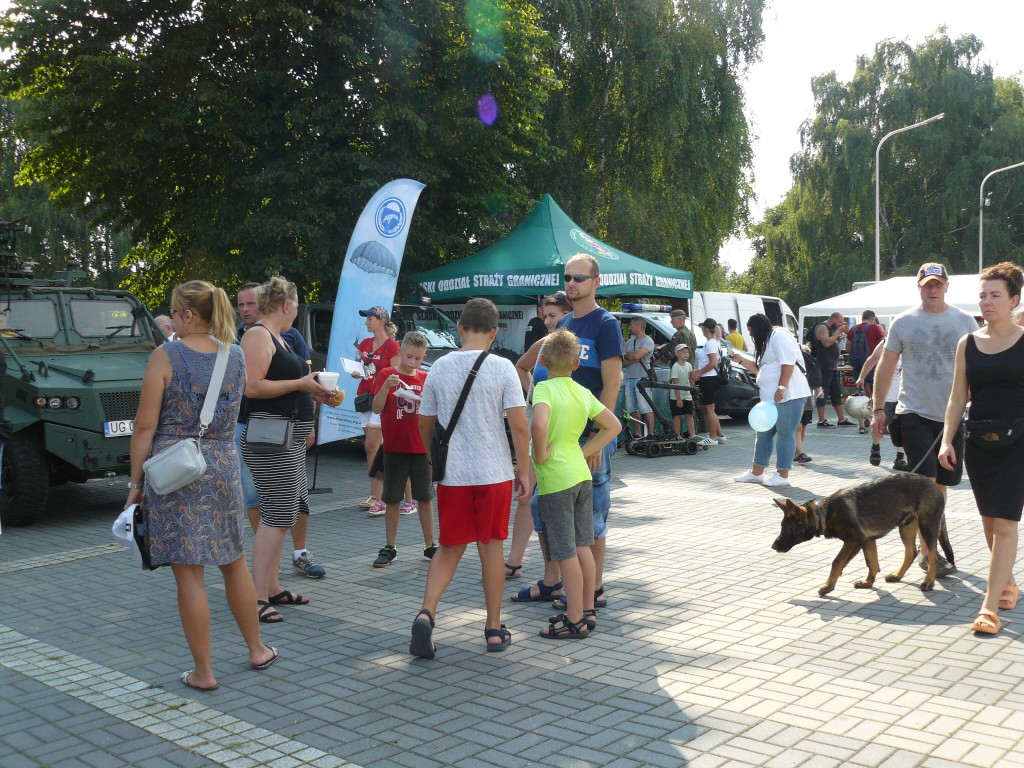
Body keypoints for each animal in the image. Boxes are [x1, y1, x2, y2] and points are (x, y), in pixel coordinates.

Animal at [774, 475, 950, 593]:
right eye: (782, 527)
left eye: (787, 529)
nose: (773, 546)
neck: (823, 513)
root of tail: (933, 485)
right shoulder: (867, 541)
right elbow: (872, 563)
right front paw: (868, 583)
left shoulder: (853, 541)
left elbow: (837, 562)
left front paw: (828, 585)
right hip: (906, 529)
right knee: (911, 552)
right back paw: (897, 575)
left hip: (927, 528)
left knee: (933, 556)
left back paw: (928, 582)